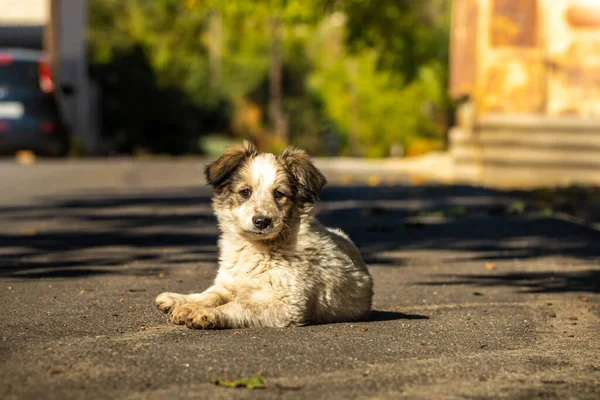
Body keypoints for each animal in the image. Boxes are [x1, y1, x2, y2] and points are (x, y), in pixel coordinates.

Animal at [157, 141, 372, 328]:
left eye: (279, 194)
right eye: (245, 192)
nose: (261, 222)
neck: (255, 249)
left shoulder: (288, 304)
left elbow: (240, 305)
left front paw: (205, 314)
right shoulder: (229, 284)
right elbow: (209, 295)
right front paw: (188, 305)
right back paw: (174, 299)